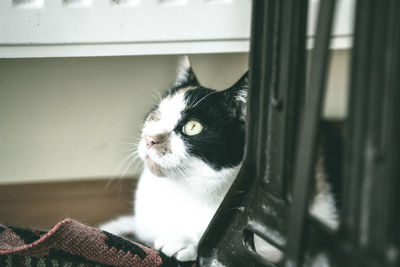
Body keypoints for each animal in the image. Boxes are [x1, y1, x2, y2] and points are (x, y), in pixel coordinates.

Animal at [100, 55, 338, 262]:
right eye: (156, 115)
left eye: (193, 127)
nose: (150, 139)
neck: (181, 188)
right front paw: (107, 229)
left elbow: (228, 244)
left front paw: (187, 240)